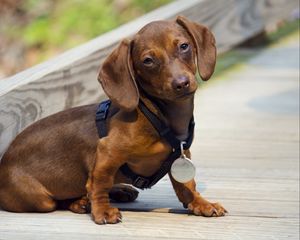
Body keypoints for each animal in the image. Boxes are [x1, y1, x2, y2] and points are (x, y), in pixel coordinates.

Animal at [0, 15, 225, 224]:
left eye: (184, 46)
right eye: (148, 60)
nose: (181, 83)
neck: (160, 115)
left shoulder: (181, 154)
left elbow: (186, 185)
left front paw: (201, 203)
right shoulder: (108, 151)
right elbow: (99, 183)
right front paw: (103, 211)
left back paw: (116, 192)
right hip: (40, 200)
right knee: (57, 201)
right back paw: (82, 202)